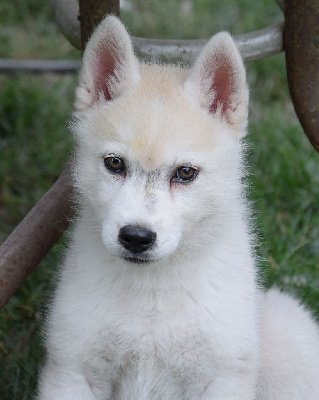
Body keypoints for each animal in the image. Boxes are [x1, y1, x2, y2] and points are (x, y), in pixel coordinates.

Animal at [38, 15, 319, 400]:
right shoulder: (73, 370)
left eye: (185, 173)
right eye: (114, 164)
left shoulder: (221, 378)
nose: (136, 237)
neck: (153, 292)